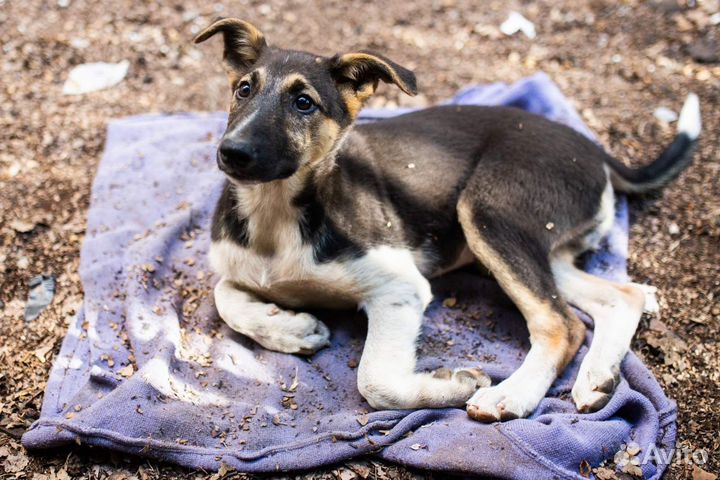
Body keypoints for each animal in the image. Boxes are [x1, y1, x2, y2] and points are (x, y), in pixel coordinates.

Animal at [194, 17, 700, 420]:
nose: (232, 152)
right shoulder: (235, 266)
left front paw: (456, 384)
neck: (276, 212)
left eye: (304, 103)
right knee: (620, 297)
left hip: (488, 214)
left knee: (562, 325)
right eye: (243, 90)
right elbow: (224, 294)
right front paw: (291, 329)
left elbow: (376, 381)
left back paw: (510, 396)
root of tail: (595, 150)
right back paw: (598, 378)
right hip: (536, 247)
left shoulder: (400, 288)